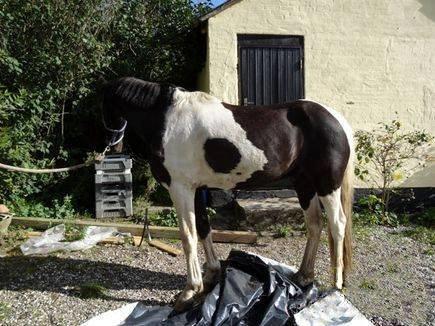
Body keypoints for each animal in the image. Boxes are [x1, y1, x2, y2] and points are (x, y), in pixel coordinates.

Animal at [103, 77, 354, 310]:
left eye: (102, 109)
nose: (111, 147)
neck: (166, 119)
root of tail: (337, 119)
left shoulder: (180, 188)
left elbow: (188, 236)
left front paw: (189, 292)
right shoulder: (196, 189)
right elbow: (203, 228)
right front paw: (211, 277)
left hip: (327, 185)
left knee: (337, 224)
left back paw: (336, 285)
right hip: (304, 185)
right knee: (315, 225)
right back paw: (303, 276)